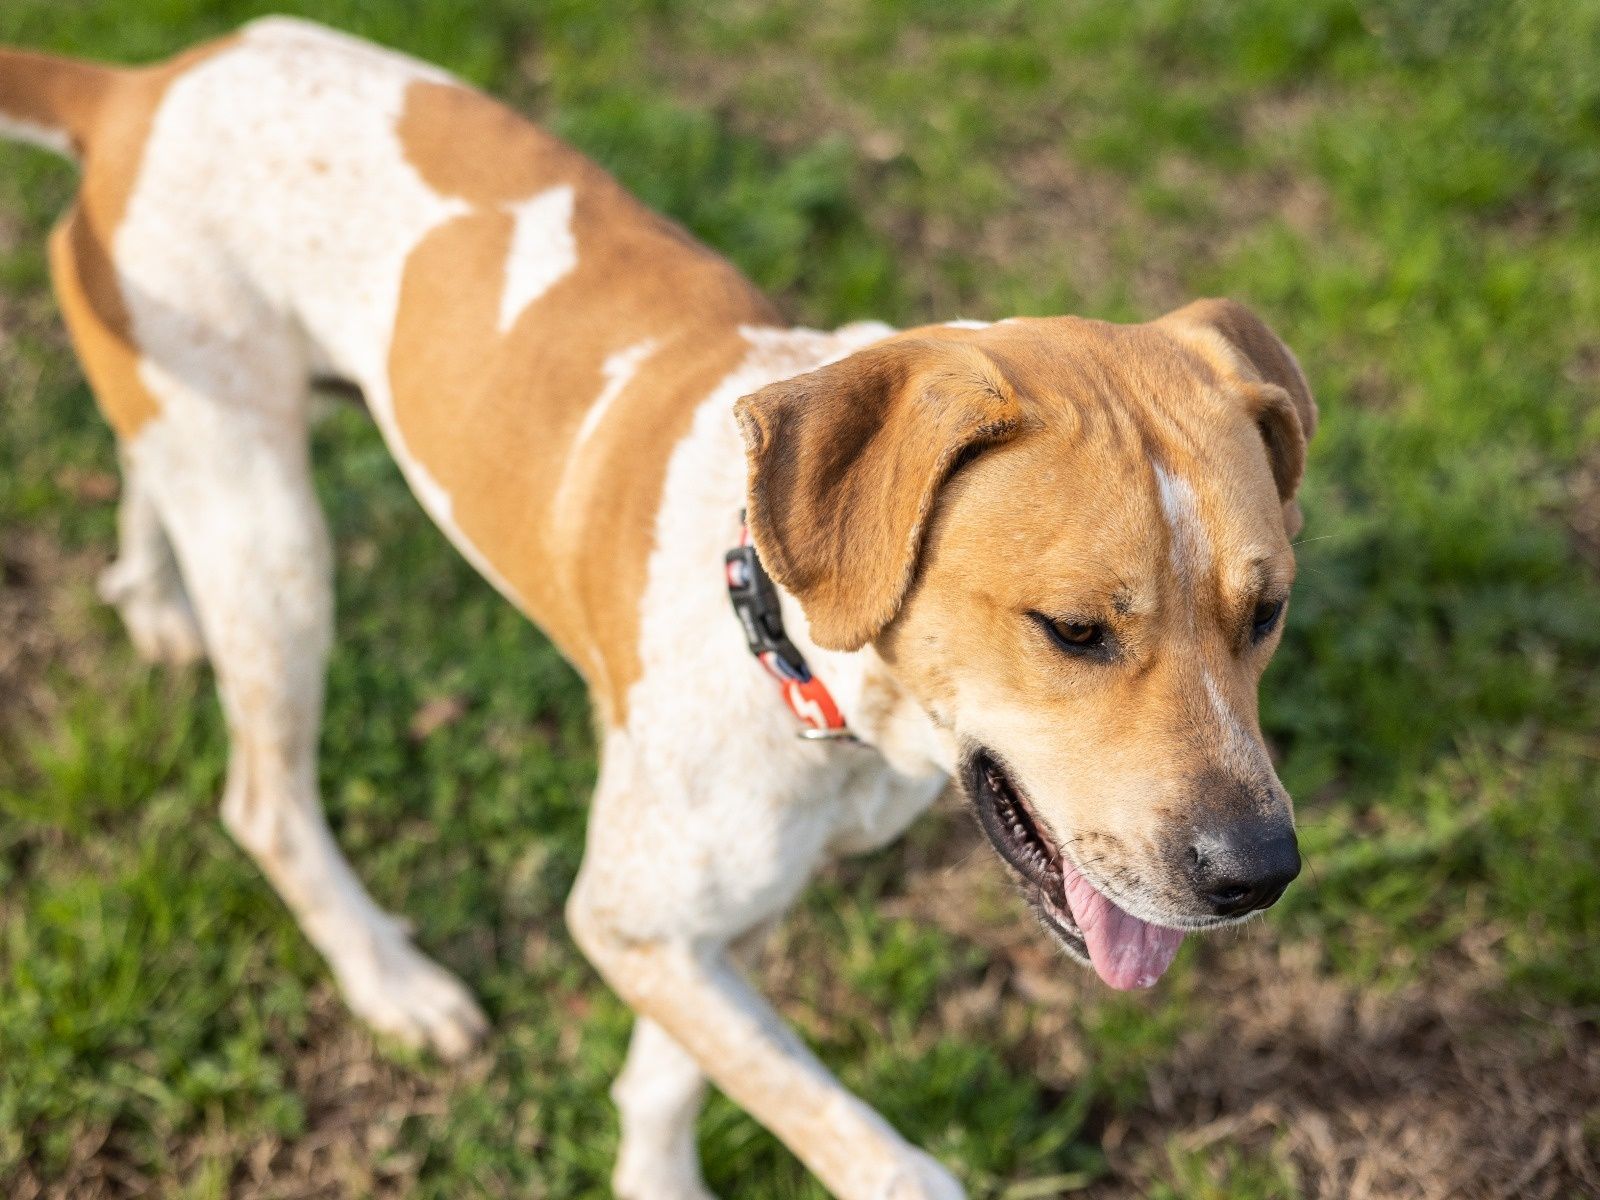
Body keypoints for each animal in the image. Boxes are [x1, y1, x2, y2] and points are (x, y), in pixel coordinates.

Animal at [0, 21, 1318, 1200]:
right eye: (1073, 631)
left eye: (1266, 613)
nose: (1259, 876)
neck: (794, 647)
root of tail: (139, 88)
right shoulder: (632, 915)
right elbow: (865, 1150)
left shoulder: (698, 925)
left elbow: (679, 1072)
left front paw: (650, 1167)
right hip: (277, 547)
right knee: (267, 803)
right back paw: (391, 981)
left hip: (210, 453)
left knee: (147, 476)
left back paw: (152, 601)